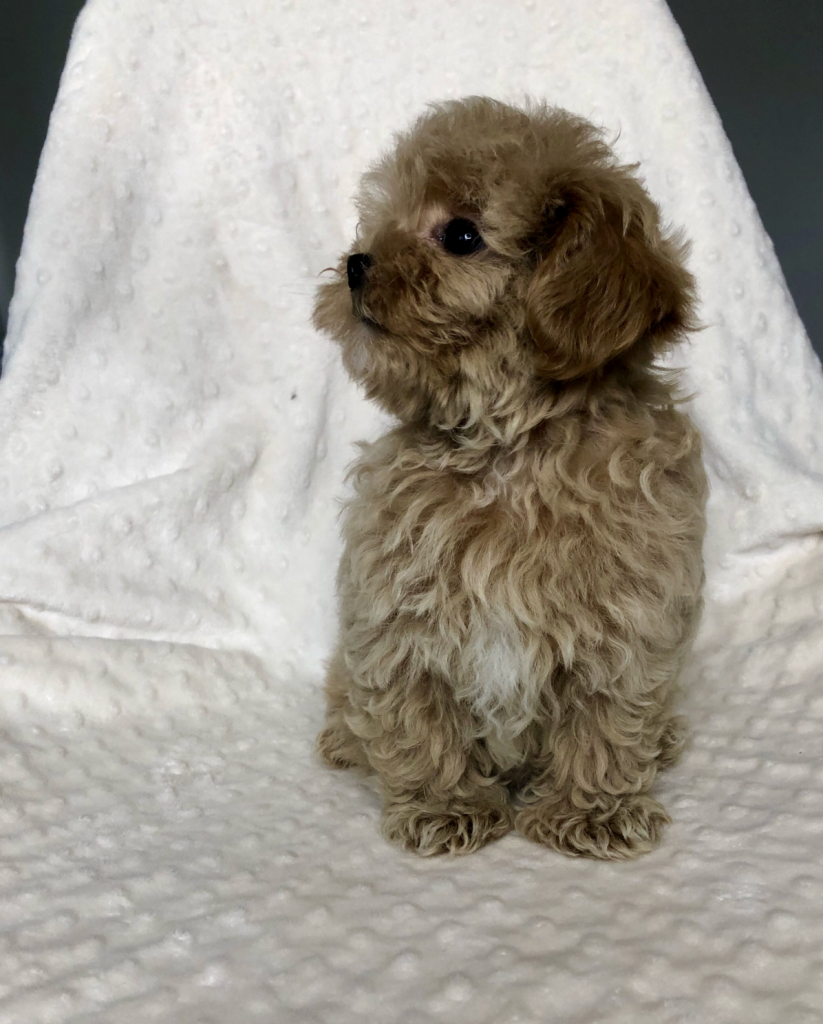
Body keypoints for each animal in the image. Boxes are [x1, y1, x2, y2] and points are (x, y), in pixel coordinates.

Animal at [311, 99, 704, 860]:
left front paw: (593, 812)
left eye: (461, 234)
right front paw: (444, 805)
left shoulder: (628, 608)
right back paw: (346, 739)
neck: (506, 449)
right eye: (385, 217)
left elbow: (607, 711)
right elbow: (419, 709)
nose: (355, 263)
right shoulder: (397, 606)